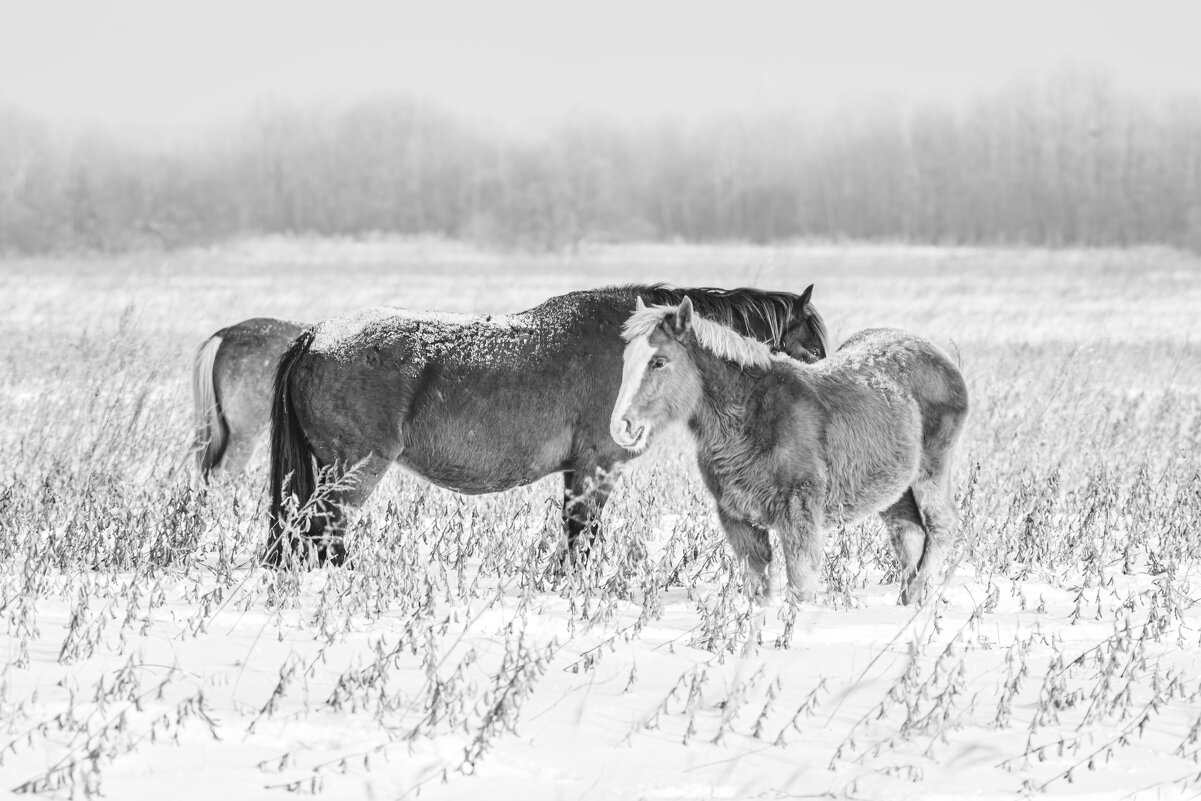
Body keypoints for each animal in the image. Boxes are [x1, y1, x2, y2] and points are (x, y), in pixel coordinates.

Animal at [263, 284, 826, 566]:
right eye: (810, 349)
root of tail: (316, 335)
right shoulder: (596, 467)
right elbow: (582, 536)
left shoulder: (579, 472)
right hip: (352, 473)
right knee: (324, 535)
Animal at [614, 297, 970, 605]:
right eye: (625, 361)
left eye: (659, 361)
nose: (621, 427)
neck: (751, 412)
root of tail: (939, 358)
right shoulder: (737, 518)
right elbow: (757, 590)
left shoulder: (798, 513)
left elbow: (801, 584)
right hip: (894, 489)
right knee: (910, 535)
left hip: (930, 473)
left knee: (942, 526)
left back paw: (918, 597)